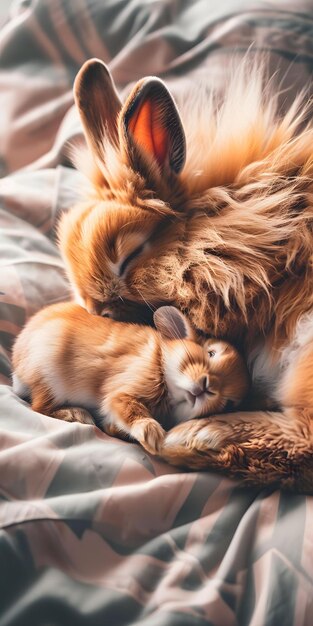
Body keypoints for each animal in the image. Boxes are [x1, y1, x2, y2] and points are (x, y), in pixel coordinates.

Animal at [11, 304, 247, 454]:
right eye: (211, 353)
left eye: (229, 404)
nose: (209, 387)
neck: (161, 361)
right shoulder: (124, 390)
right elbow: (128, 409)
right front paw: (153, 437)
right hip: (50, 380)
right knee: (39, 407)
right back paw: (77, 415)